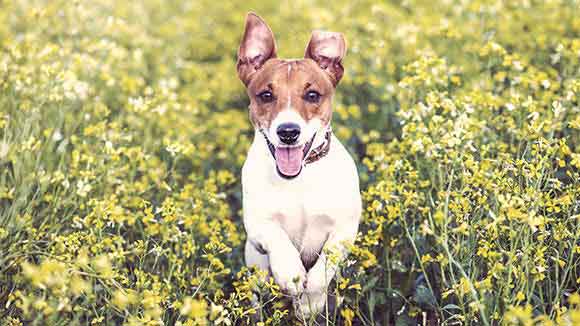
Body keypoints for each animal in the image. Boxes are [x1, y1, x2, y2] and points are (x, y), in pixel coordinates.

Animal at [238, 12, 360, 318]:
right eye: (266, 95)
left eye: (313, 95)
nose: (288, 132)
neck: (299, 180)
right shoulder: (256, 225)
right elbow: (277, 239)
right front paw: (290, 274)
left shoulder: (344, 230)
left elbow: (324, 265)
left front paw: (309, 303)